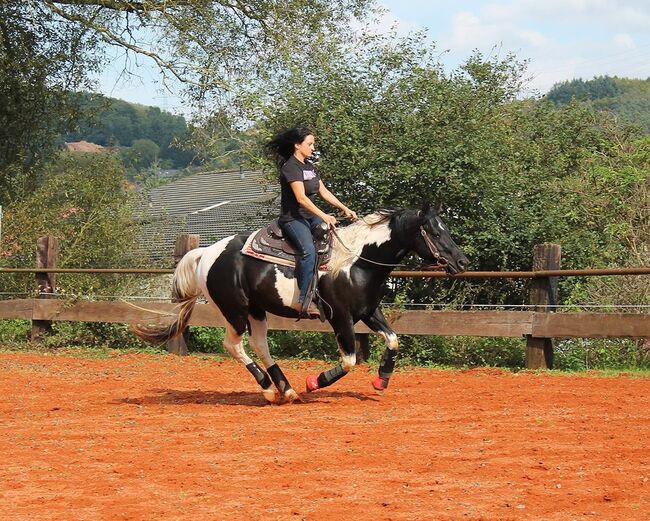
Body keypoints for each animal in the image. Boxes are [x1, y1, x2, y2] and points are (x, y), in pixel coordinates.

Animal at [133, 205, 466, 404]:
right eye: (434, 232)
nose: (462, 262)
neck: (355, 261)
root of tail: (206, 252)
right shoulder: (340, 317)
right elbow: (349, 360)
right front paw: (315, 382)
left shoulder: (368, 312)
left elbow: (393, 340)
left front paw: (381, 380)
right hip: (235, 310)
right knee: (234, 345)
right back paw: (269, 389)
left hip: (256, 311)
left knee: (260, 344)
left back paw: (286, 388)